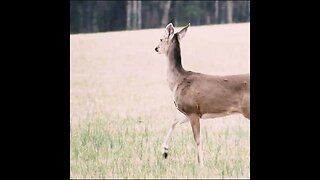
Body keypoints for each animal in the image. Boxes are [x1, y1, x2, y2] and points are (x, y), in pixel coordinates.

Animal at [154, 22, 250, 166]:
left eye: (161, 39)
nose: (156, 48)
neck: (177, 82)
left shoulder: (192, 110)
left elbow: (197, 139)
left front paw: (201, 164)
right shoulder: (191, 111)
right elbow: (174, 121)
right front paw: (165, 151)